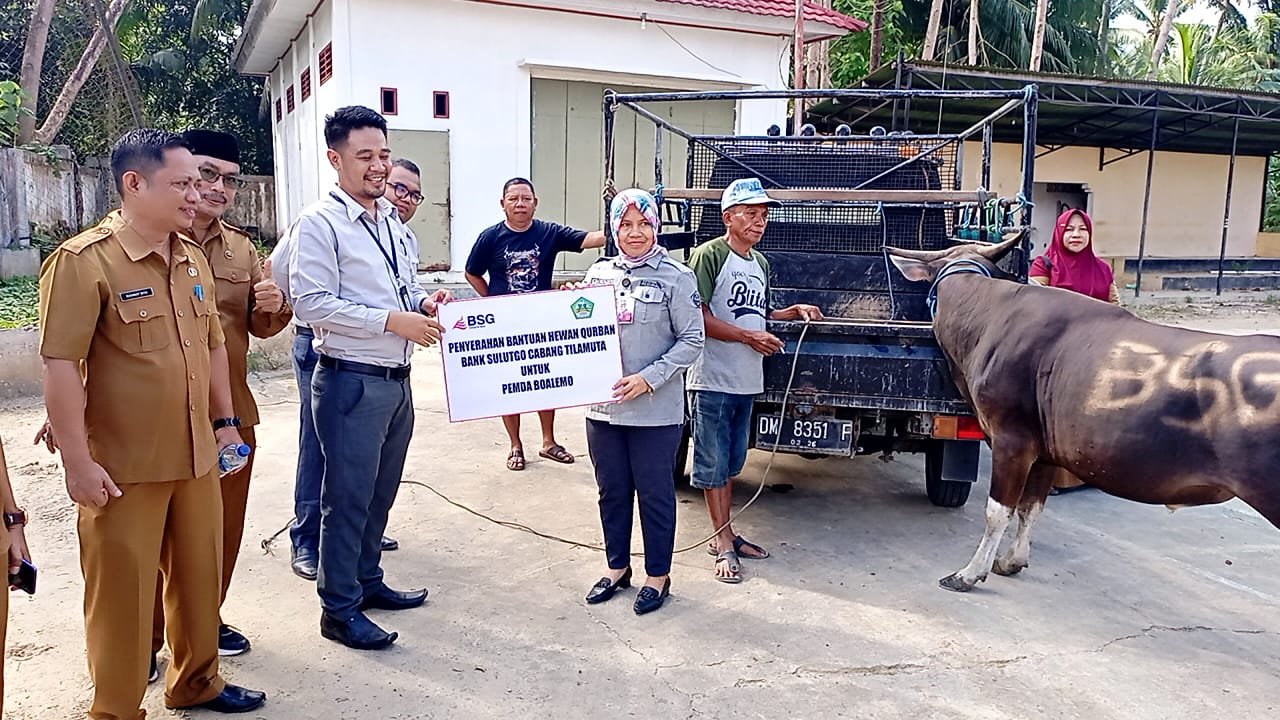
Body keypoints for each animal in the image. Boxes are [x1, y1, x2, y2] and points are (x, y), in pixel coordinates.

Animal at [890, 233, 1280, 591]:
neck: (987, 320)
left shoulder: (1011, 439)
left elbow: (998, 511)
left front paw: (969, 573)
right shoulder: (1045, 448)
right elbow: (1031, 507)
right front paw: (1012, 561)